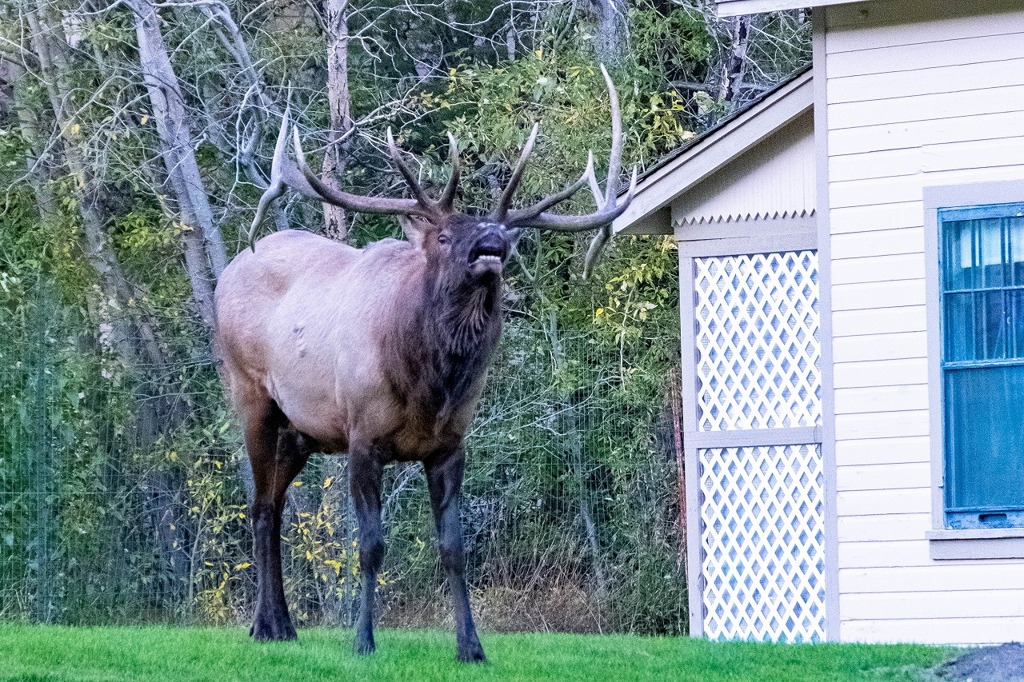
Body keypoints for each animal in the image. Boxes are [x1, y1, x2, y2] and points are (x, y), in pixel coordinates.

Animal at [215, 65, 630, 659]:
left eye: (506, 236)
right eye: (445, 234)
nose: (492, 241)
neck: (427, 387)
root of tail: (228, 271)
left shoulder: (449, 446)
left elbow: (454, 548)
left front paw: (471, 645)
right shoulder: (362, 436)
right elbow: (370, 545)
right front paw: (363, 640)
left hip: (302, 431)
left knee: (271, 502)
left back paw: (284, 625)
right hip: (250, 394)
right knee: (261, 507)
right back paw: (265, 626)